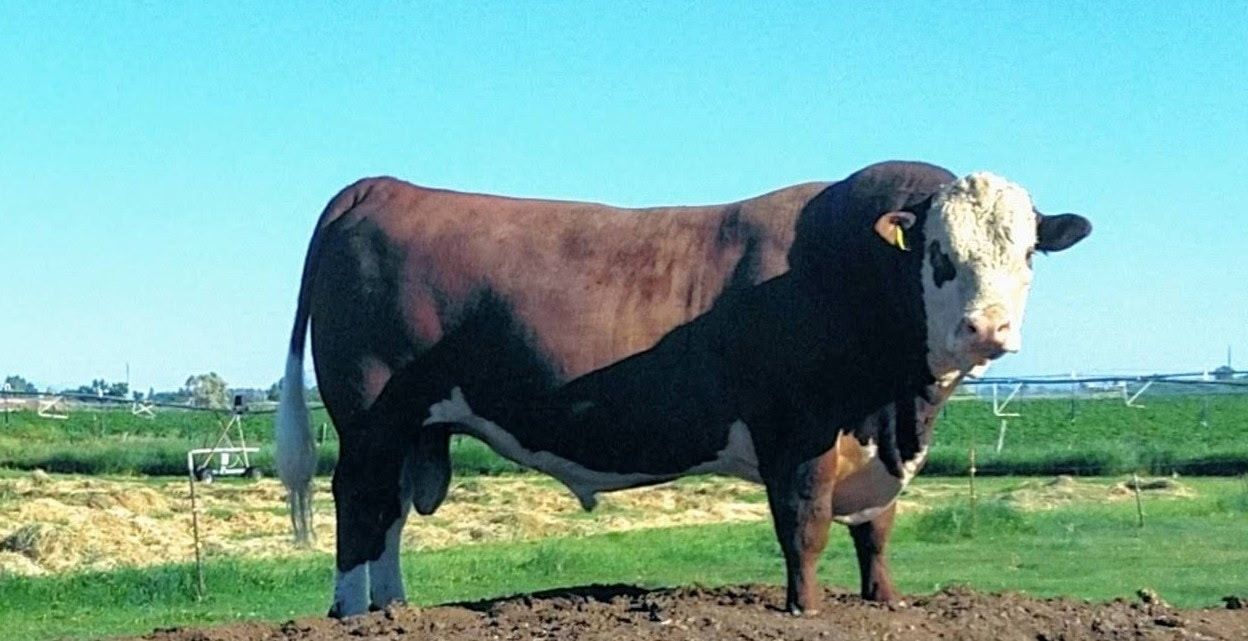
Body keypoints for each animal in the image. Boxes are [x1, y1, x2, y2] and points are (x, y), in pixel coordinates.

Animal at [275, 160, 1091, 617]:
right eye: (940, 255)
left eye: (1026, 253)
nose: (988, 328)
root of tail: (388, 187)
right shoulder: (798, 431)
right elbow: (806, 526)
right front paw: (806, 610)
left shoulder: (873, 443)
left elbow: (876, 529)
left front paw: (884, 602)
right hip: (371, 417)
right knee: (359, 504)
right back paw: (351, 613)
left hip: (412, 427)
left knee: (388, 516)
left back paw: (395, 608)